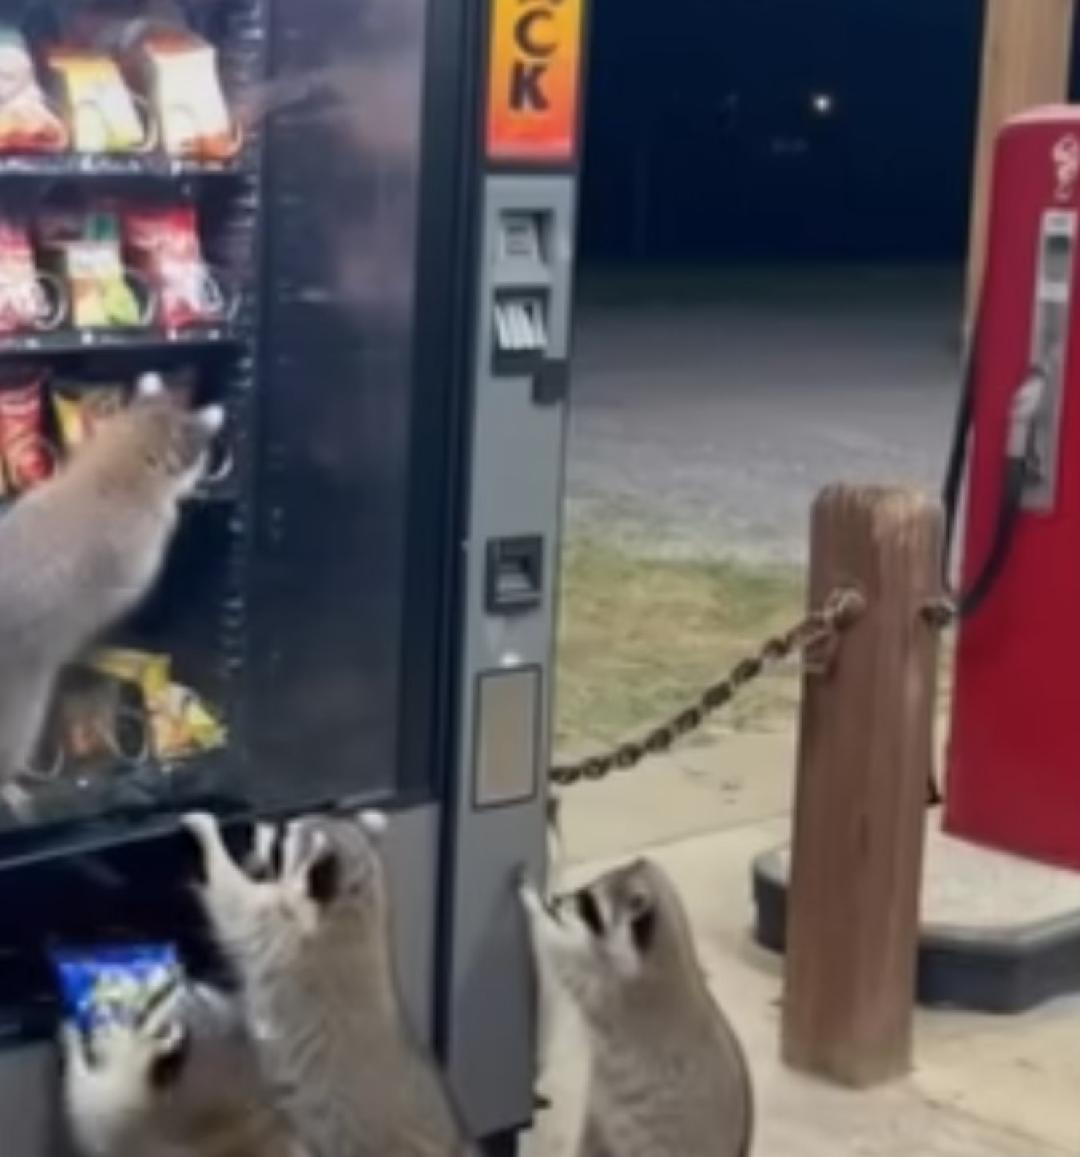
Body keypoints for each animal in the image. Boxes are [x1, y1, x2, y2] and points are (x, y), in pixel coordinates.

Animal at [182, 809, 477, 1157]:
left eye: (281, 839)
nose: (256, 826)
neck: (355, 897)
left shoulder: (287, 937)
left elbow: (234, 899)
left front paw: (208, 836)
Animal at [519, 857, 754, 1157]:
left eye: (588, 904)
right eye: (585, 892)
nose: (556, 899)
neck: (667, 941)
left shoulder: (613, 989)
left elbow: (564, 962)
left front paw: (534, 906)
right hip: (604, 1124)